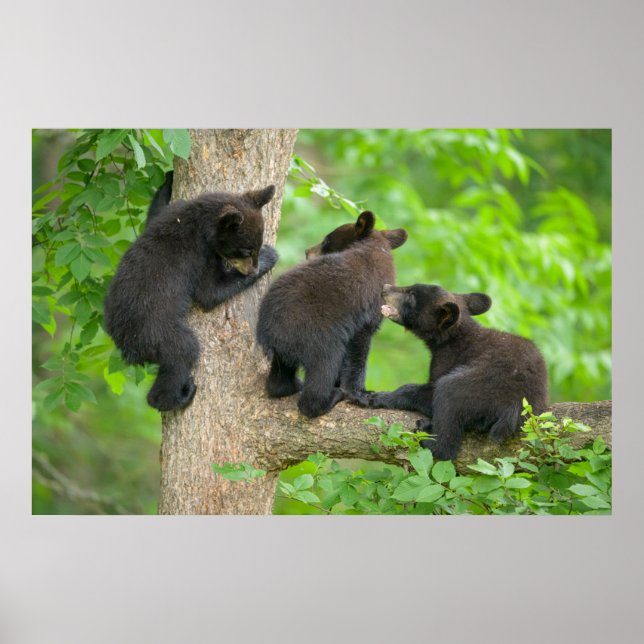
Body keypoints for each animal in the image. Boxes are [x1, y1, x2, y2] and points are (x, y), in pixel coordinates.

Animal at [104, 177, 278, 412]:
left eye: (255, 247)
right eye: (245, 250)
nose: (252, 270)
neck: (198, 221)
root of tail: (125, 346)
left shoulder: (169, 214)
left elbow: (154, 213)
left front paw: (168, 179)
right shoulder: (198, 255)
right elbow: (209, 291)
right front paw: (271, 257)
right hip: (156, 332)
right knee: (183, 352)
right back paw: (178, 396)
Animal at [256, 211, 408, 418]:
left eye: (327, 240)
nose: (307, 251)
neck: (376, 248)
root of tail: (268, 333)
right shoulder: (365, 311)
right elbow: (358, 351)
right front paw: (360, 393)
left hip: (286, 349)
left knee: (280, 377)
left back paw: (290, 386)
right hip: (317, 336)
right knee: (324, 368)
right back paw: (330, 397)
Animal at [347, 283, 548, 460]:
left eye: (412, 295)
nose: (385, 287)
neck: (452, 337)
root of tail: (515, 405)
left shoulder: (448, 357)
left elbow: (428, 391)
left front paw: (375, 397)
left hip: (483, 386)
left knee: (448, 399)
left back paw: (428, 435)